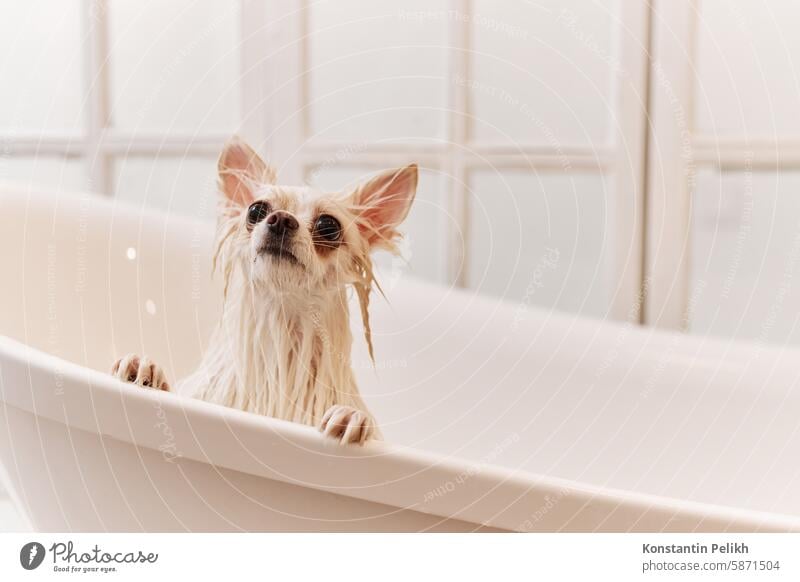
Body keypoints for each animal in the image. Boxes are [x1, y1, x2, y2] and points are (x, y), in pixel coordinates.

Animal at [112, 138, 418, 448]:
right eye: (256, 211)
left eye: (328, 226)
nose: (281, 219)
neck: (283, 331)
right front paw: (148, 370)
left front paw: (350, 416)